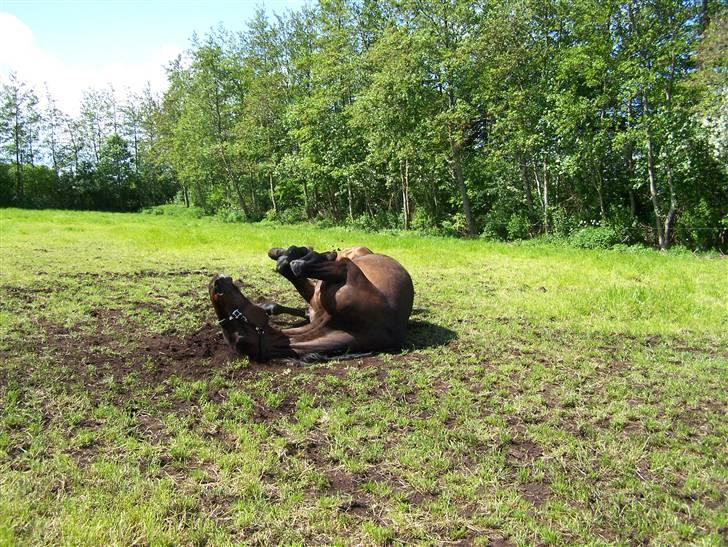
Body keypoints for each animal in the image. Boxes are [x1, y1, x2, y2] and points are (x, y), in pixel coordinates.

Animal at [210, 246, 416, 362]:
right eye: (238, 338)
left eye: (238, 331)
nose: (215, 284)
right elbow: (293, 266)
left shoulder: (345, 269)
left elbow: (294, 265)